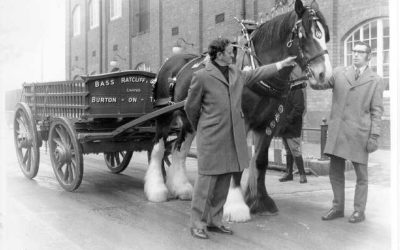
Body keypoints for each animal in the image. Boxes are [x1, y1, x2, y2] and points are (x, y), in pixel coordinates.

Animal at [144, 0, 332, 222]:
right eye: (303, 34)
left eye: (325, 34)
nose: (324, 74)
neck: (256, 70)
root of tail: (170, 63)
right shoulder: (239, 121)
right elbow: (239, 161)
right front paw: (235, 205)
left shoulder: (269, 123)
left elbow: (260, 161)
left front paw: (260, 201)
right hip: (164, 117)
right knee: (158, 148)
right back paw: (157, 190)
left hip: (189, 120)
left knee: (178, 148)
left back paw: (182, 189)